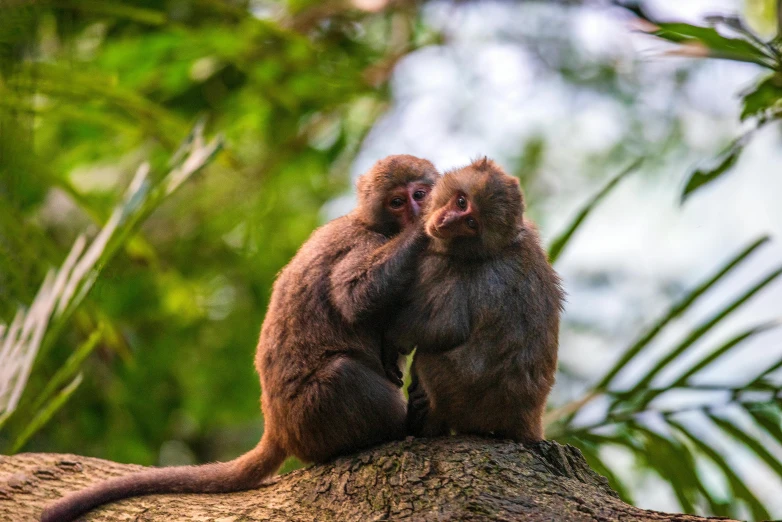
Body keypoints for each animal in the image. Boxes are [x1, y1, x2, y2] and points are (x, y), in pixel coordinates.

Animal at [41, 154, 440, 520]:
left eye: (419, 193)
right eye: (398, 202)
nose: (416, 209)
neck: (376, 225)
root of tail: (278, 428)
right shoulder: (360, 241)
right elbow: (356, 297)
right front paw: (424, 228)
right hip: (313, 416)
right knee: (342, 373)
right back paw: (404, 426)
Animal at [390, 156, 564, 440]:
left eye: (471, 224)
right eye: (462, 202)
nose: (446, 222)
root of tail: (526, 418)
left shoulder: (440, 265)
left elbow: (447, 328)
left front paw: (394, 338)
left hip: (461, 398)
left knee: (428, 359)